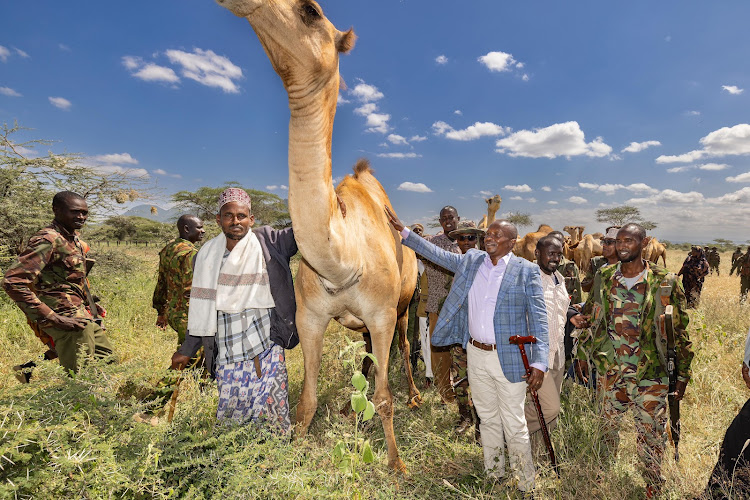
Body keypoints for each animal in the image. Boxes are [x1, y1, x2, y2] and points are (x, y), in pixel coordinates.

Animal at [217, 0, 420, 470]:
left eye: (310, 10)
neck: (344, 257)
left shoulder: (382, 313)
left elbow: (385, 398)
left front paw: (397, 465)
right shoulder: (309, 317)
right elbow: (306, 400)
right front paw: (294, 449)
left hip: (406, 305)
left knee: (402, 346)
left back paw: (416, 395)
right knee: (366, 354)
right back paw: (349, 406)